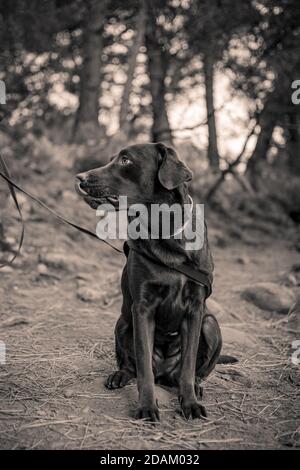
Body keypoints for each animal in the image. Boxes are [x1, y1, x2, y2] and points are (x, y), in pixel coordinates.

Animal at [75, 143, 225, 422]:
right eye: (112, 158)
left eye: (125, 160)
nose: (80, 178)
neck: (165, 232)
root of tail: (165, 372)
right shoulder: (142, 308)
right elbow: (144, 366)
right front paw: (147, 406)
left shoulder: (196, 308)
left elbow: (188, 365)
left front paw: (189, 402)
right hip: (122, 323)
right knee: (131, 366)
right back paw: (119, 375)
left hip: (211, 325)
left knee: (195, 370)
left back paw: (196, 386)